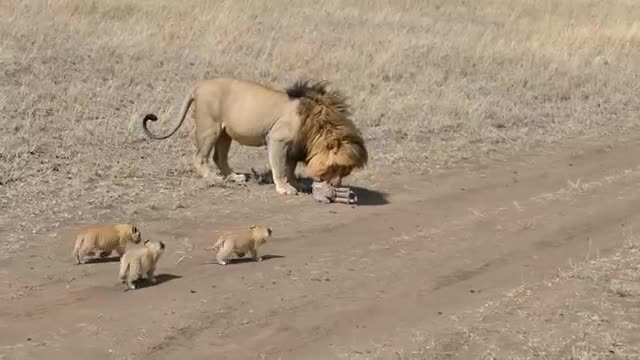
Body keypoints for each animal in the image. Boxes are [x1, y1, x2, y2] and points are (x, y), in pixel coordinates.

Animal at [142, 77, 368, 195]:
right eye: (336, 168)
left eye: (346, 172)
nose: (337, 186)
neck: (317, 124)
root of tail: (199, 85)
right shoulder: (277, 139)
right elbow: (280, 168)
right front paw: (284, 188)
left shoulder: (295, 146)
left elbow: (290, 168)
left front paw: (296, 183)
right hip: (210, 127)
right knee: (200, 157)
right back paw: (212, 177)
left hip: (225, 133)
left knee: (219, 157)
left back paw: (234, 177)